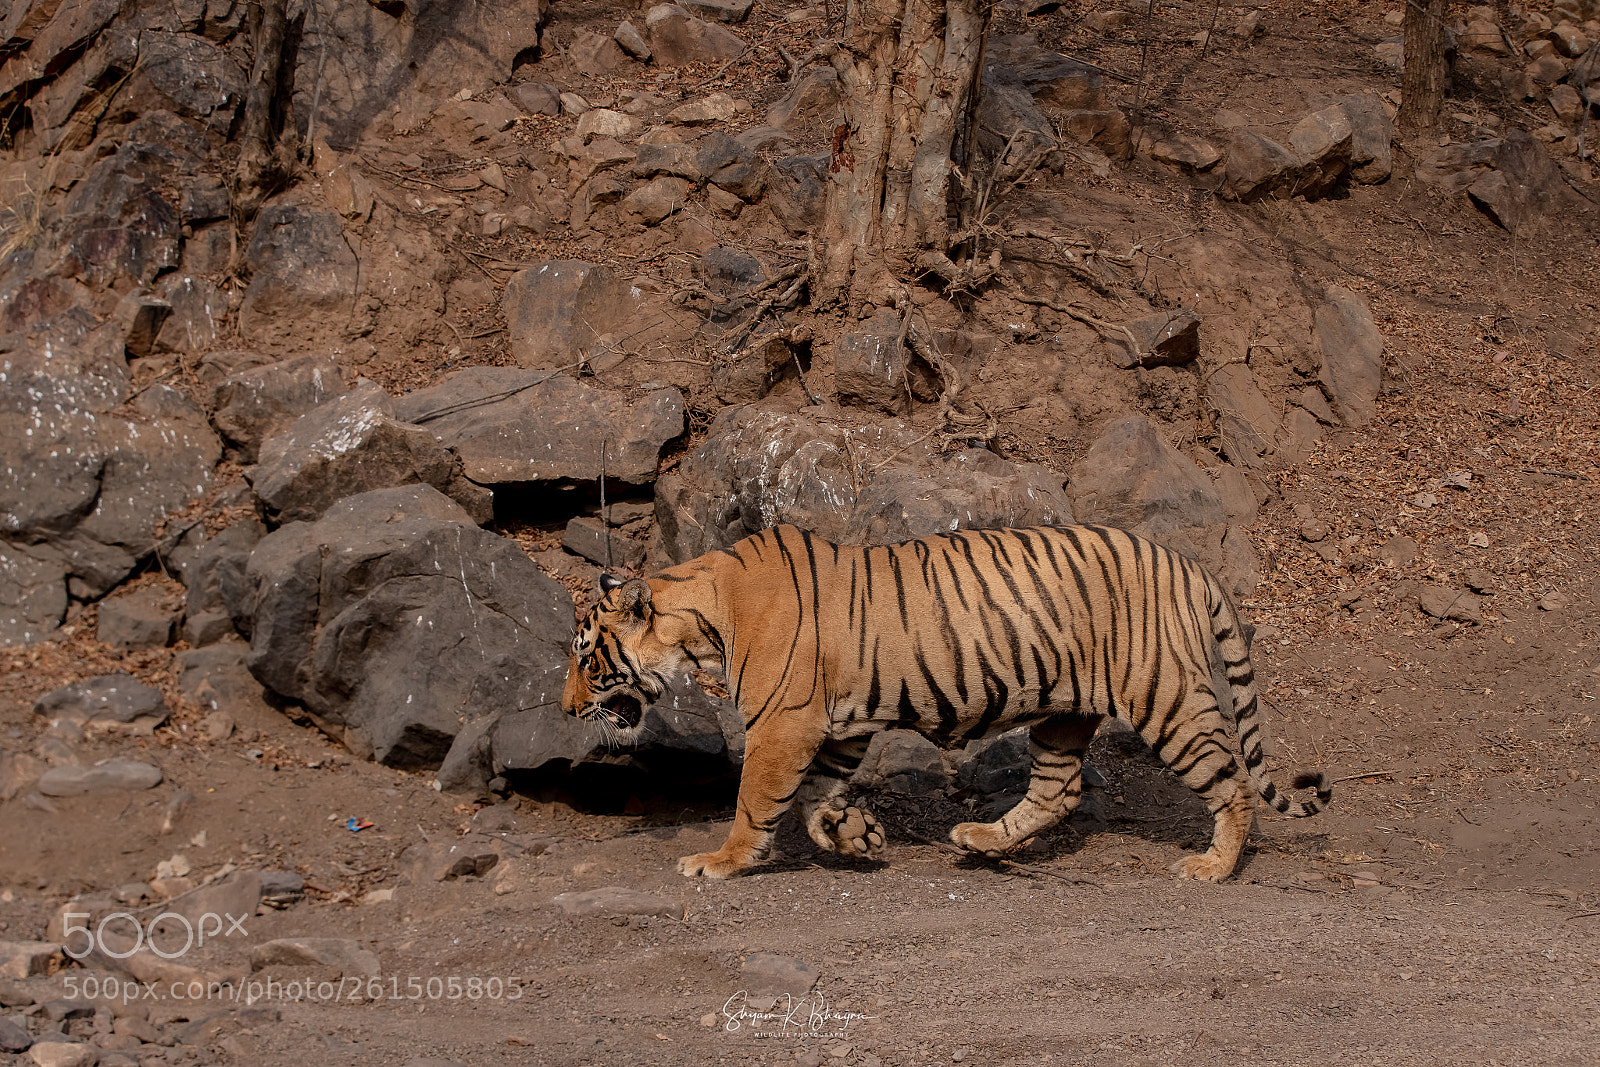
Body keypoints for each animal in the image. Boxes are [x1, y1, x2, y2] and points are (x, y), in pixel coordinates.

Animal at [561, 523, 1329, 881]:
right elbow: (815, 797)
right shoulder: (835, 728)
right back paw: (980, 839)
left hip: (1165, 698)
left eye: (585, 655)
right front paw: (854, 836)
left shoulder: (783, 724)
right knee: (1057, 790)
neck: (701, 620)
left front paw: (720, 862)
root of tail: (1187, 561)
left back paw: (1213, 866)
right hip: (1066, 712)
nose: (566, 710)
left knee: (1232, 781)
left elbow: (757, 801)